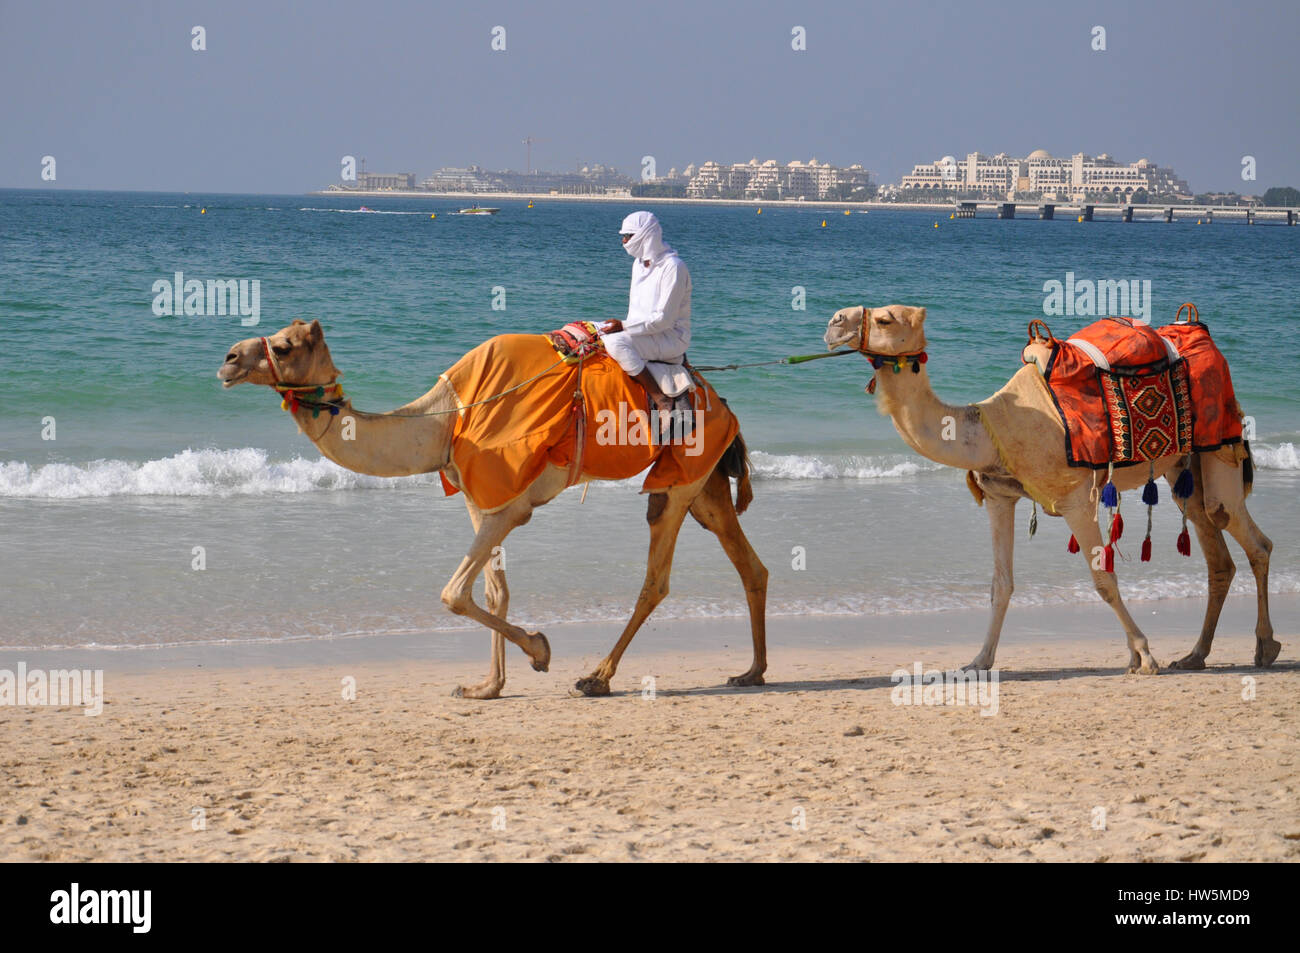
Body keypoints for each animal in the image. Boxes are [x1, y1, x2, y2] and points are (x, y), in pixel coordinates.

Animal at [211, 315, 759, 696]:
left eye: (283, 345)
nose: (229, 358)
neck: (444, 421)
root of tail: (721, 400)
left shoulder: (509, 506)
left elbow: (453, 593)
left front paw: (540, 651)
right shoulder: (478, 499)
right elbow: (496, 590)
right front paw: (486, 687)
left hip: (682, 481)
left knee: (656, 579)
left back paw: (597, 678)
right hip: (702, 482)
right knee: (749, 564)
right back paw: (752, 671)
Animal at [826, 302, 1274, 670]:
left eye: (885, 318)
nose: (834, 322)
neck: (988, 430)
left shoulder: (1076, 499)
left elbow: (1103, 578)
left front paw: (1144, 655)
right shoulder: (1000, 496)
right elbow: (1001, 584)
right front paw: (979, 661)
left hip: (1220, 446)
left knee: (1249, 536)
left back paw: (1265, 647)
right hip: (1184, 469)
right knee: (1216, 552)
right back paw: (1196, 655)